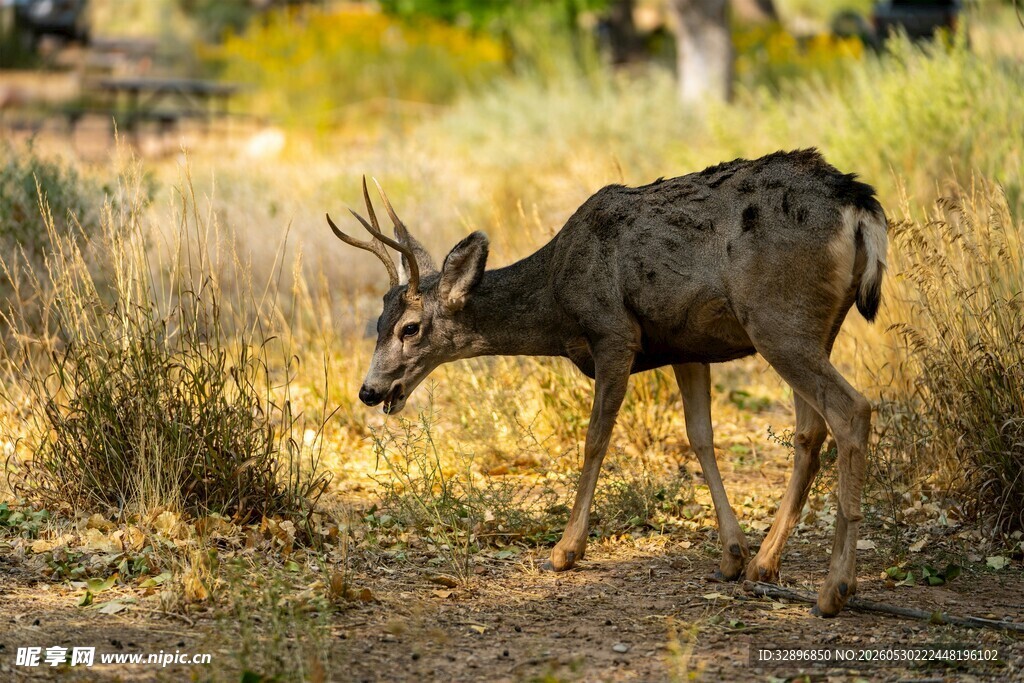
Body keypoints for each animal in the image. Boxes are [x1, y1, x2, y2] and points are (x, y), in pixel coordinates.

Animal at [327, 149, 887, 617]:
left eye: (410, 328)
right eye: (377, 322)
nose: (370, 391)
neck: (558, 294)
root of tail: (859, 205)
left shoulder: (614, 334)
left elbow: (596, 438)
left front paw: (565, 550)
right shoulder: (688, 346)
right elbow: (701, 437)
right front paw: (731, 553)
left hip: (777, 319)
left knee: (852, 410)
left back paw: (834, 589)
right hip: (812, 327)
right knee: (810, 432)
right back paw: (764, 564)